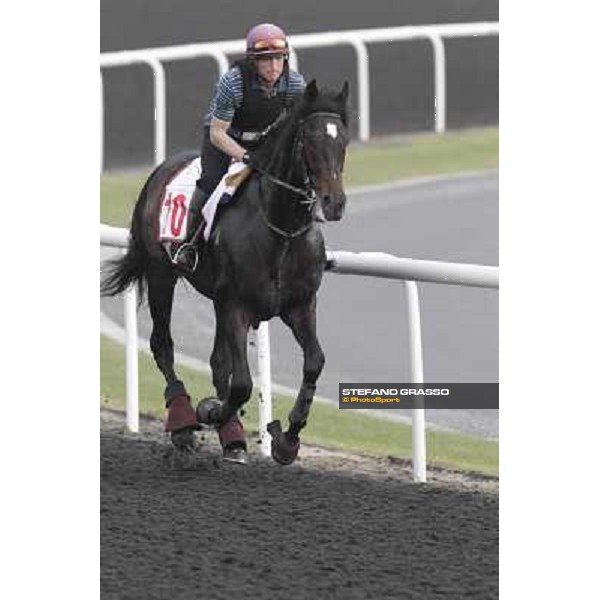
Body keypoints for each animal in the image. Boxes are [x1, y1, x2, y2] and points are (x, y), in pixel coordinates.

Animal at [101, 79, 350, 464]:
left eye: (343, 141)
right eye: (309, 140)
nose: (334, 202)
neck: (279, 228)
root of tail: (161, 170)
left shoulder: (299, 306)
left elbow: (313, 363)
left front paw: (287, 438)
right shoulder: (236, 306)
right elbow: (242, 383)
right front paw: (210, 411)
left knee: (218, 362)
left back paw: (230, 435)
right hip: (161, 274)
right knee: (162, 344)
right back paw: (184, 421)